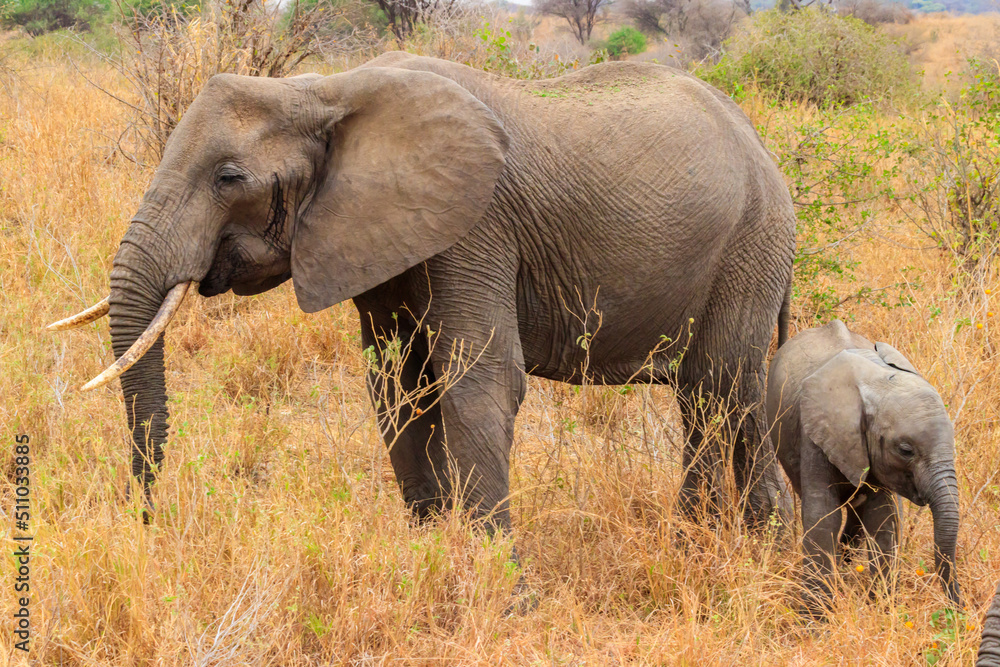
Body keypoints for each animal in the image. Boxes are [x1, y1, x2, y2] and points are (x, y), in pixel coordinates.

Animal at [48, 51, 797, 541]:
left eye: (228, 177)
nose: (146, 521)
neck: (323, 89)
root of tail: (766, 150)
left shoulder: (478, 224)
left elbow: (478, 381)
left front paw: (499, 583)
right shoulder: (375, 236)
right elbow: (397, 386)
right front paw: (431, 550)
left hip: (751, 242)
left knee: (722, 388)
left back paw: (738, 545)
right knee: (718, 397)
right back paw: (730, 540)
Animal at [766, 319, 961, 613]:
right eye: (906, 450)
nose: (957, 609)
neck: (878, 384)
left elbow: (883, 517)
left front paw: (882, 609)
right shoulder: (816, 434)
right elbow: (823, 515)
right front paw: (813, 618)